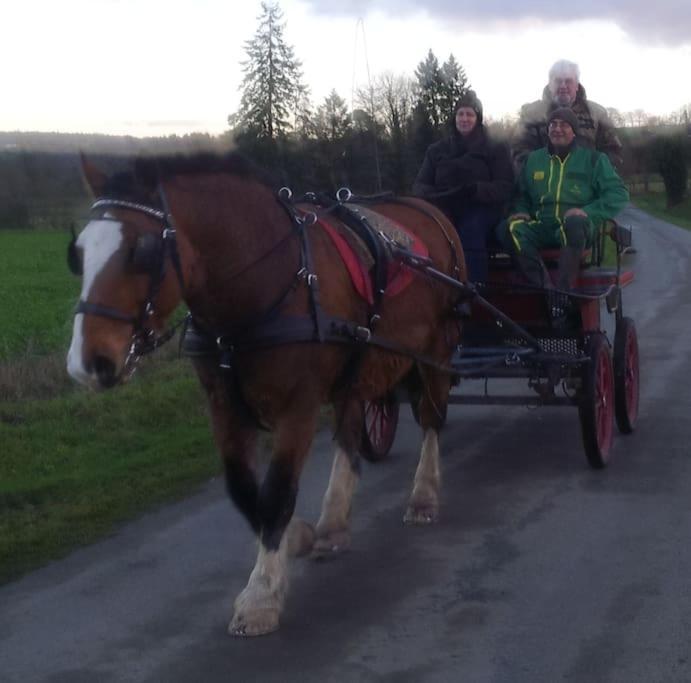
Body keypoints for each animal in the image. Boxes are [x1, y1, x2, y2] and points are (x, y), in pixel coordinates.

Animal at [66, 152, 464, 640]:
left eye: (140, 252)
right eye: (79, 253)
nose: (86, 363)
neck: (267, 282)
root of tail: (428, 209)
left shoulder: (300, 405)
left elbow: (276, 491)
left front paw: (261, 595)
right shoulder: (222, 405)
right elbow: (243, 489)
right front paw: (295, 536)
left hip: (436, 348)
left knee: (431, 418)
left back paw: (423, 495)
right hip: (358, 365)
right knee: (351, 434)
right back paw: (333, 523)